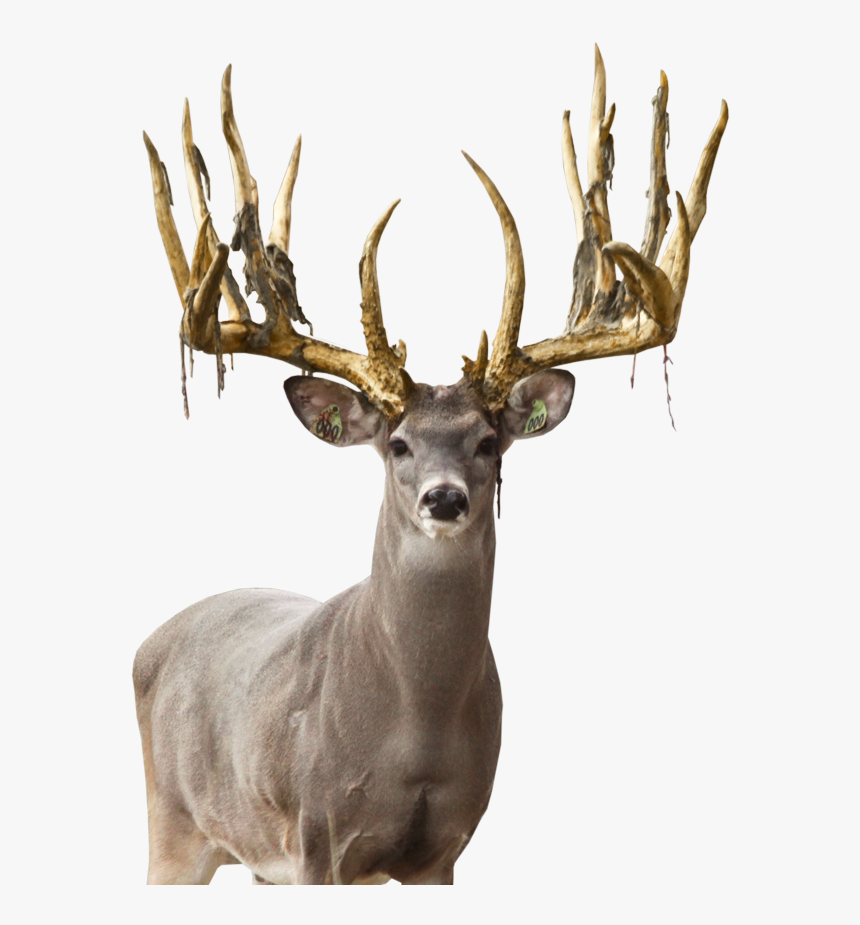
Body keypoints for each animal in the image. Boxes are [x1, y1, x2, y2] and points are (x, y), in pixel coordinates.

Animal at [134, 46, 727, 885]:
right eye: (399, 443)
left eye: (488, 441)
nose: (444, 500)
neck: (412, 727)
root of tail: (151, 639)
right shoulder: (317, 836)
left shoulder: (445, 846)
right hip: (174, 826)